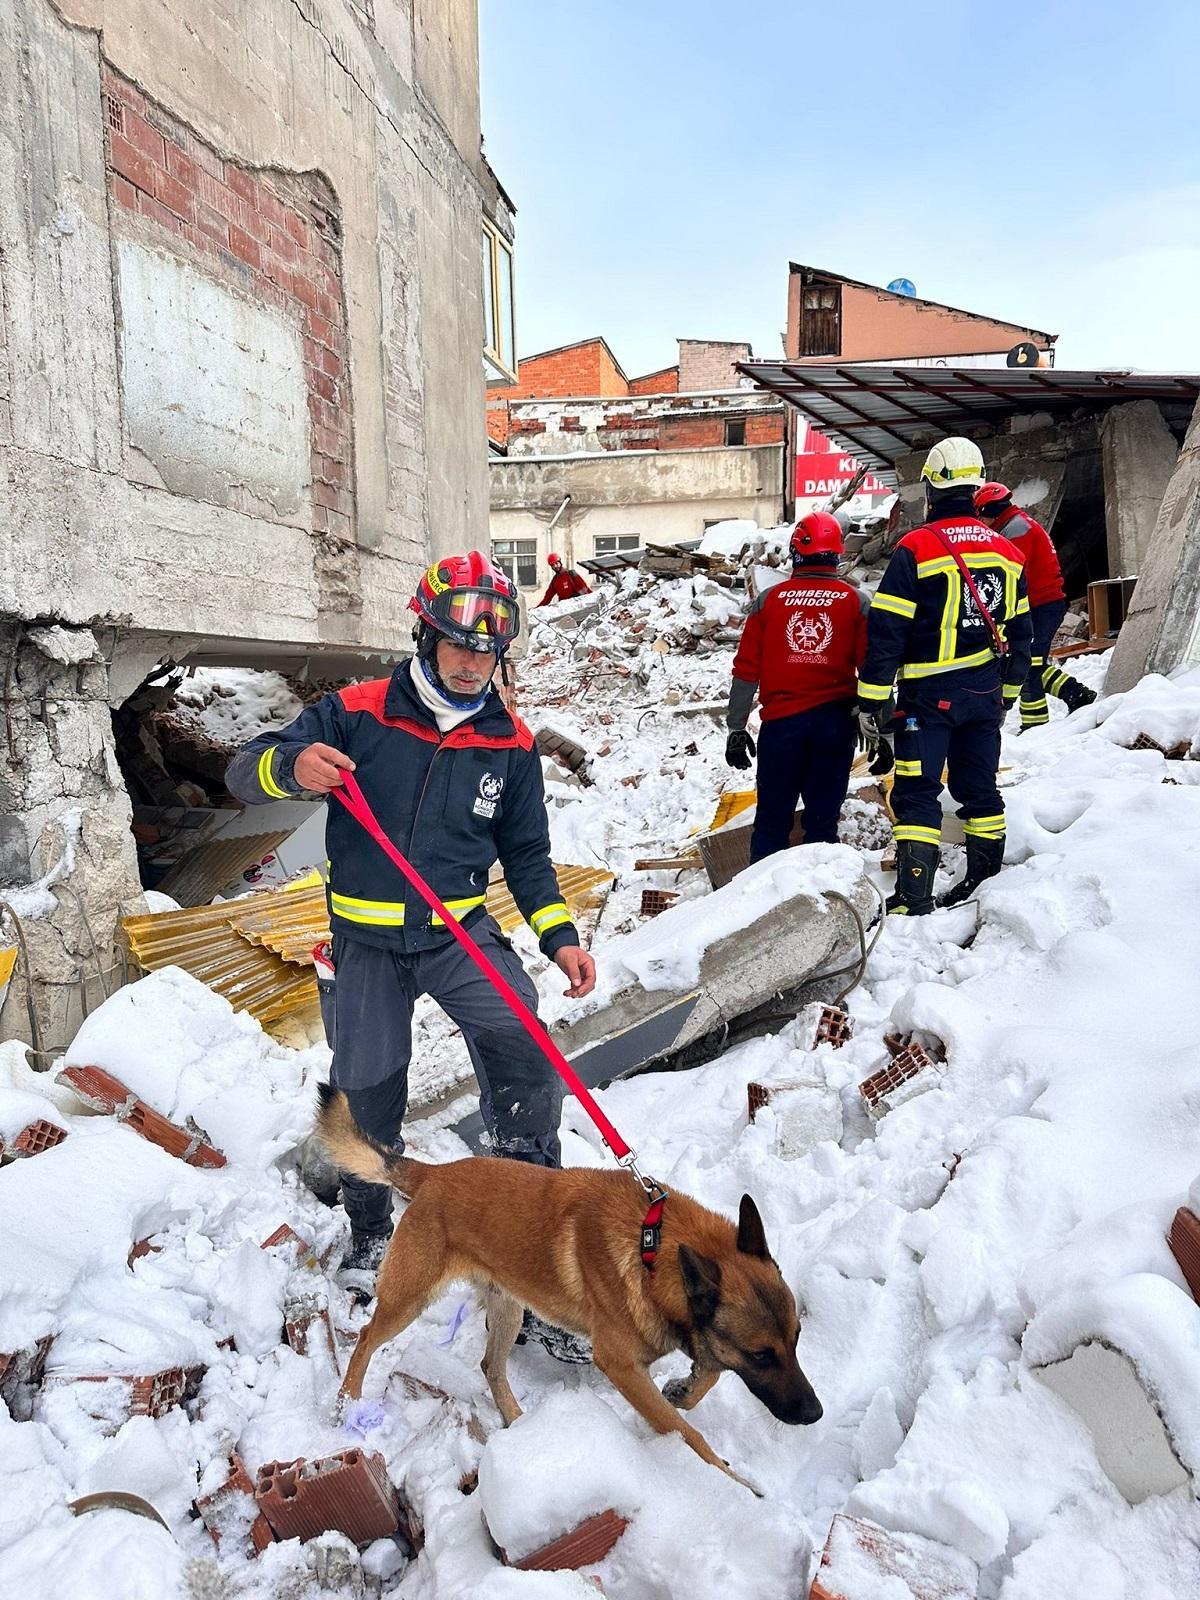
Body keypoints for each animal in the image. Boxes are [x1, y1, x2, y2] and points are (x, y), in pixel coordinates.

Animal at [316, 1088, 825, 1484]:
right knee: (366, 1339)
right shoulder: (621, 1366)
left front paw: (686, 1388)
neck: (651, 1246)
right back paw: (346, 1404)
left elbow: (708, 1373)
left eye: (797, 1339)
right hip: (410, 1299)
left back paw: (522, 1427)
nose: (815, 1415)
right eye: (760, 1355)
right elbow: (685, 1432)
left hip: (509, 1307)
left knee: (490, 1365)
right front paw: (731, 1482)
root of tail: (434, 1174)